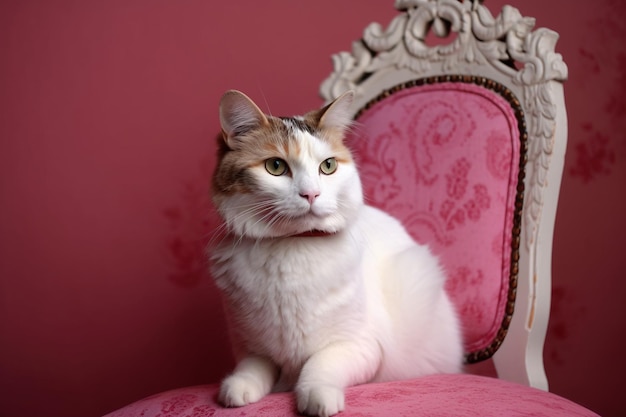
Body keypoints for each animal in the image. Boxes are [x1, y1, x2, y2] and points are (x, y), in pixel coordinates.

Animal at [210, 89, 464, 414]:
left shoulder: (360, 346)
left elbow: (320, 364)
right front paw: (237, 389)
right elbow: (253, 367)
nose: (311, 194)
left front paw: (317, 397)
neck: (293, 244)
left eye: (328, 166)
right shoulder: (251, 347)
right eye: (276, 167)